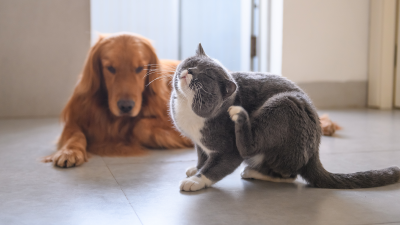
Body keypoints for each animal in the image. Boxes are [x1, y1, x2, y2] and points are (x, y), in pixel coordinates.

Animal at [43, 33, 192, 167]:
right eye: (110, 68)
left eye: (140, 68)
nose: (126, 106)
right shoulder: (75, 120)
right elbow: (75, 134)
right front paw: (69, 152)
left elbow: (140, 126)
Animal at [169, 42, 400, 192]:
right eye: (191, 62)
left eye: (206, 76)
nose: (189, 71)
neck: (187, 108)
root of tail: (315, 151)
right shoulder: (199, 143)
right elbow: (202, 157)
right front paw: (195, 169)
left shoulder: (227, 149)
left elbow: (217, 167)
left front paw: (196, 181)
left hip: (283, 105)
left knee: (284, 172)